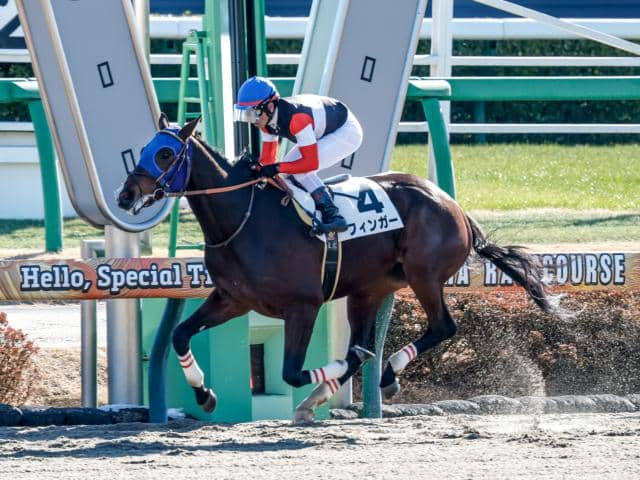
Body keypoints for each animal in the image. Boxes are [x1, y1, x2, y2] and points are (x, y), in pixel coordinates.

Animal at [117, 115, 558, 422]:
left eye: (165, 154)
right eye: (143, 148)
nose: (125, 195)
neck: (244, 218)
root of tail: (454, 206)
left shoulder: (303, 305)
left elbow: (293, 372)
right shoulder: (232, 299)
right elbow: (179, 334)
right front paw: (204, 394)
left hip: (424, 276)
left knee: (441, 328)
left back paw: (383, 374)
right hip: (370, 290)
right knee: (368, 339)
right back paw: (331, 392)